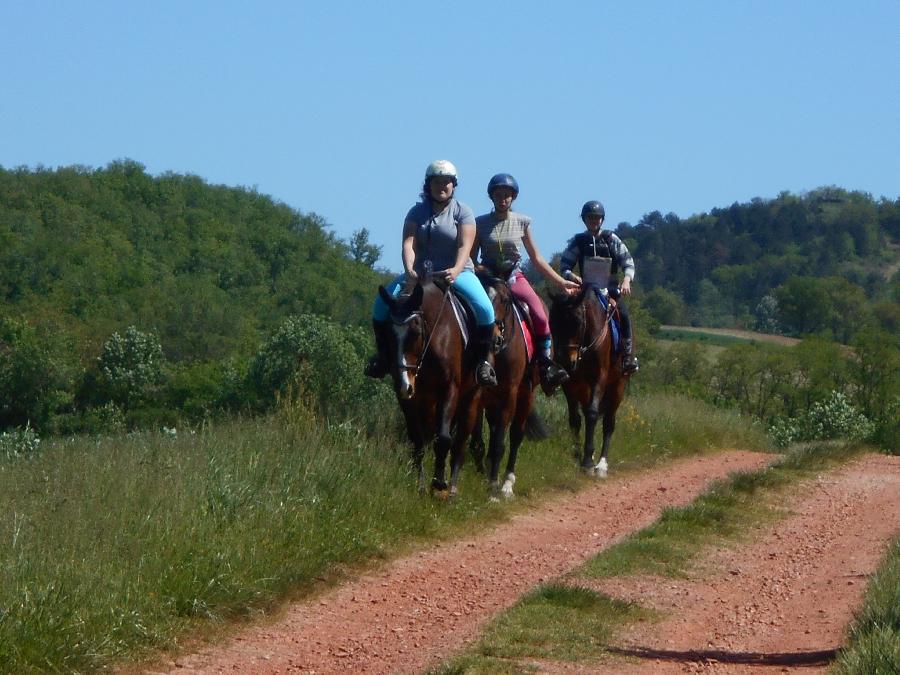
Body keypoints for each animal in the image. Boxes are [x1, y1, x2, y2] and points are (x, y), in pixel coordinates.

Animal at [376, 280, 482, 496]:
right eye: (387, 335)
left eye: (415, 333)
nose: (404, 385)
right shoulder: (410, 399)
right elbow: (418, 441)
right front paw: (421, 485)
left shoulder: (450, 389)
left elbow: (444, 438)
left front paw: (439, 482)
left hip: (471, 399)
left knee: (460, 442)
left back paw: (452, 488)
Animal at [468, 276, 536, 502]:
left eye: (505, 301)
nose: (492, 337)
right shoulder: (479, 395)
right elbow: (478, 443)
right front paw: (483, 474)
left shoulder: (509, 395)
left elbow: (499, 443)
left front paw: (493, 488)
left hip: (526, 395)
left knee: (515, 435)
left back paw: (507, 483)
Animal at [548, 288, 632, 478]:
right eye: (552, 323)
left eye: (578, 322)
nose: (566, 362)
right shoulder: (570, 383)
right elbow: (575, 419)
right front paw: (578, 456)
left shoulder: (599, 378)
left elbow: (593, 414)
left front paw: (587, 462)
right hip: (584, 388)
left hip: (618, 387)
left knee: (608, 423)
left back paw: (601, 464)